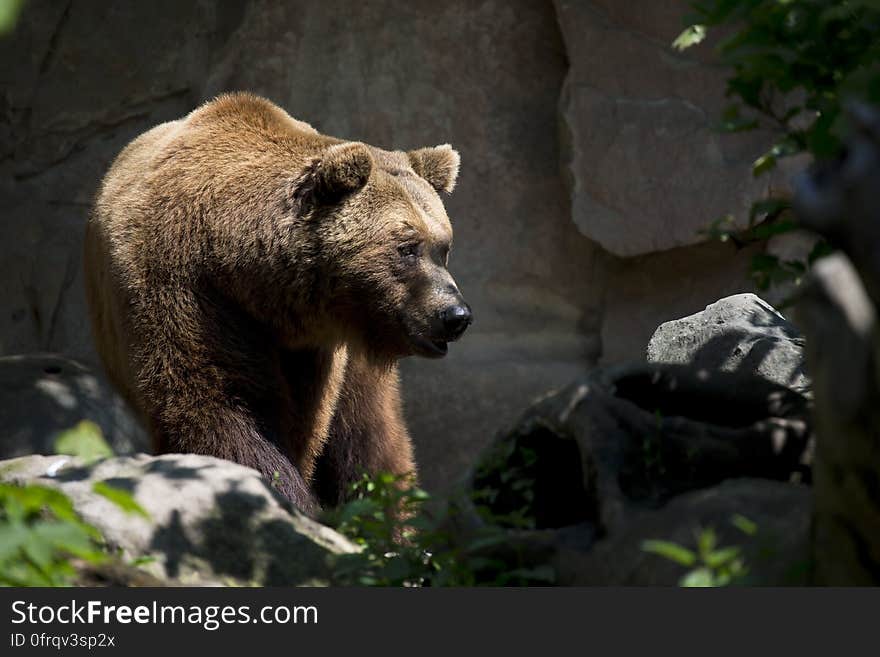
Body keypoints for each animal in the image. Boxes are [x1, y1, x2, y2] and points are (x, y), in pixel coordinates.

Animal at [84, 92, 474, 512]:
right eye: (407, 248)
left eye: (443, 247)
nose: (455, 315)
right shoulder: (187, 290)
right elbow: (219, 405)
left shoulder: (316, 351)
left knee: (370, 436)